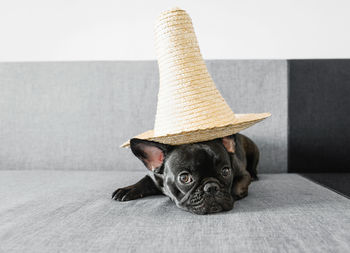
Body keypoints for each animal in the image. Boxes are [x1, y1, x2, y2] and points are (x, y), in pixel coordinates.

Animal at [112, 133, 260, 214]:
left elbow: (236, 188)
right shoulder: (154, 177)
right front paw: (126, 189)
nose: (211, 187)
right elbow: (143, 181)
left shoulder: (242, 174)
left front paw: (230, 197)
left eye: (225, 171)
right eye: (184, 178)